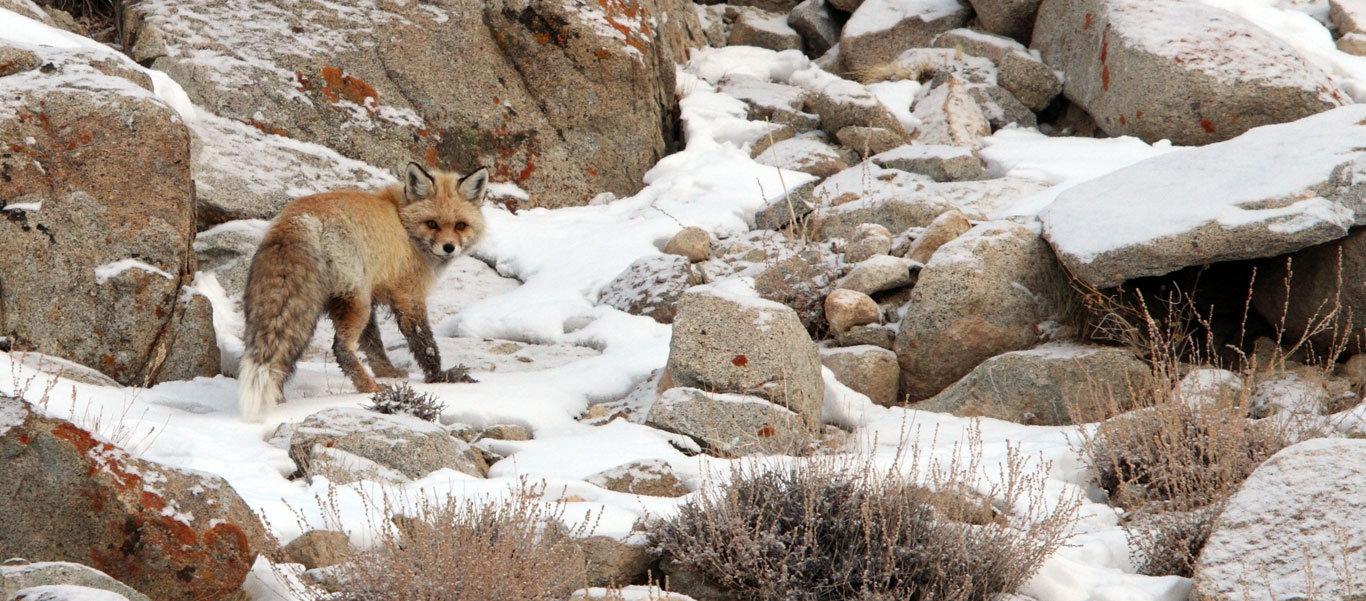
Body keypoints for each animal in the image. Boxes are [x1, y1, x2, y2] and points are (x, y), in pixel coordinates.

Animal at [240, 161, 491, 420]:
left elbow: (373, 344)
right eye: (432, 223)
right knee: (340, 348)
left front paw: (387, 372)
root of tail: (301, 217)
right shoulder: (409, 295)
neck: (402, 223)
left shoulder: (372, 293)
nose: (449, 247)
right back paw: (369, 387)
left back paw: (281, 397)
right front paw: (439, 377)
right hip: (356, 301)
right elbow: (424, 343)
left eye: (460, 225)